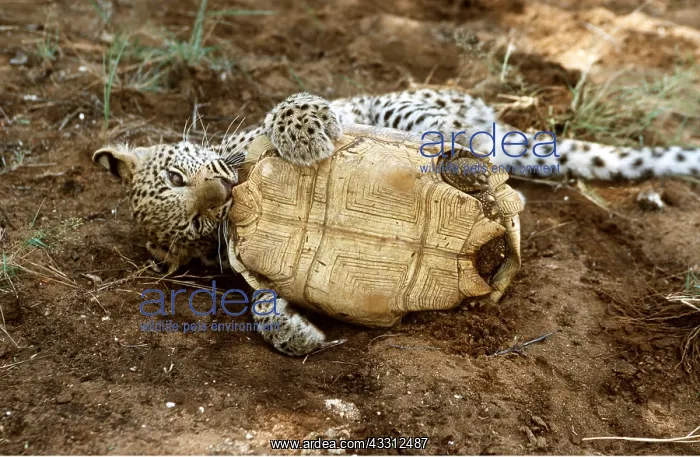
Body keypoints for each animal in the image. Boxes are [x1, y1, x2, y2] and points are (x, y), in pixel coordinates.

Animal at [93, 88, 700, 356]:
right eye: (197, 223)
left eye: (177, 176)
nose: (221, 193)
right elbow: (263, 306)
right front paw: (296, 333)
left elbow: (290, 106)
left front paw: (305, 133)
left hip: (416, 108)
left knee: (454, 137)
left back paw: (461, 155)